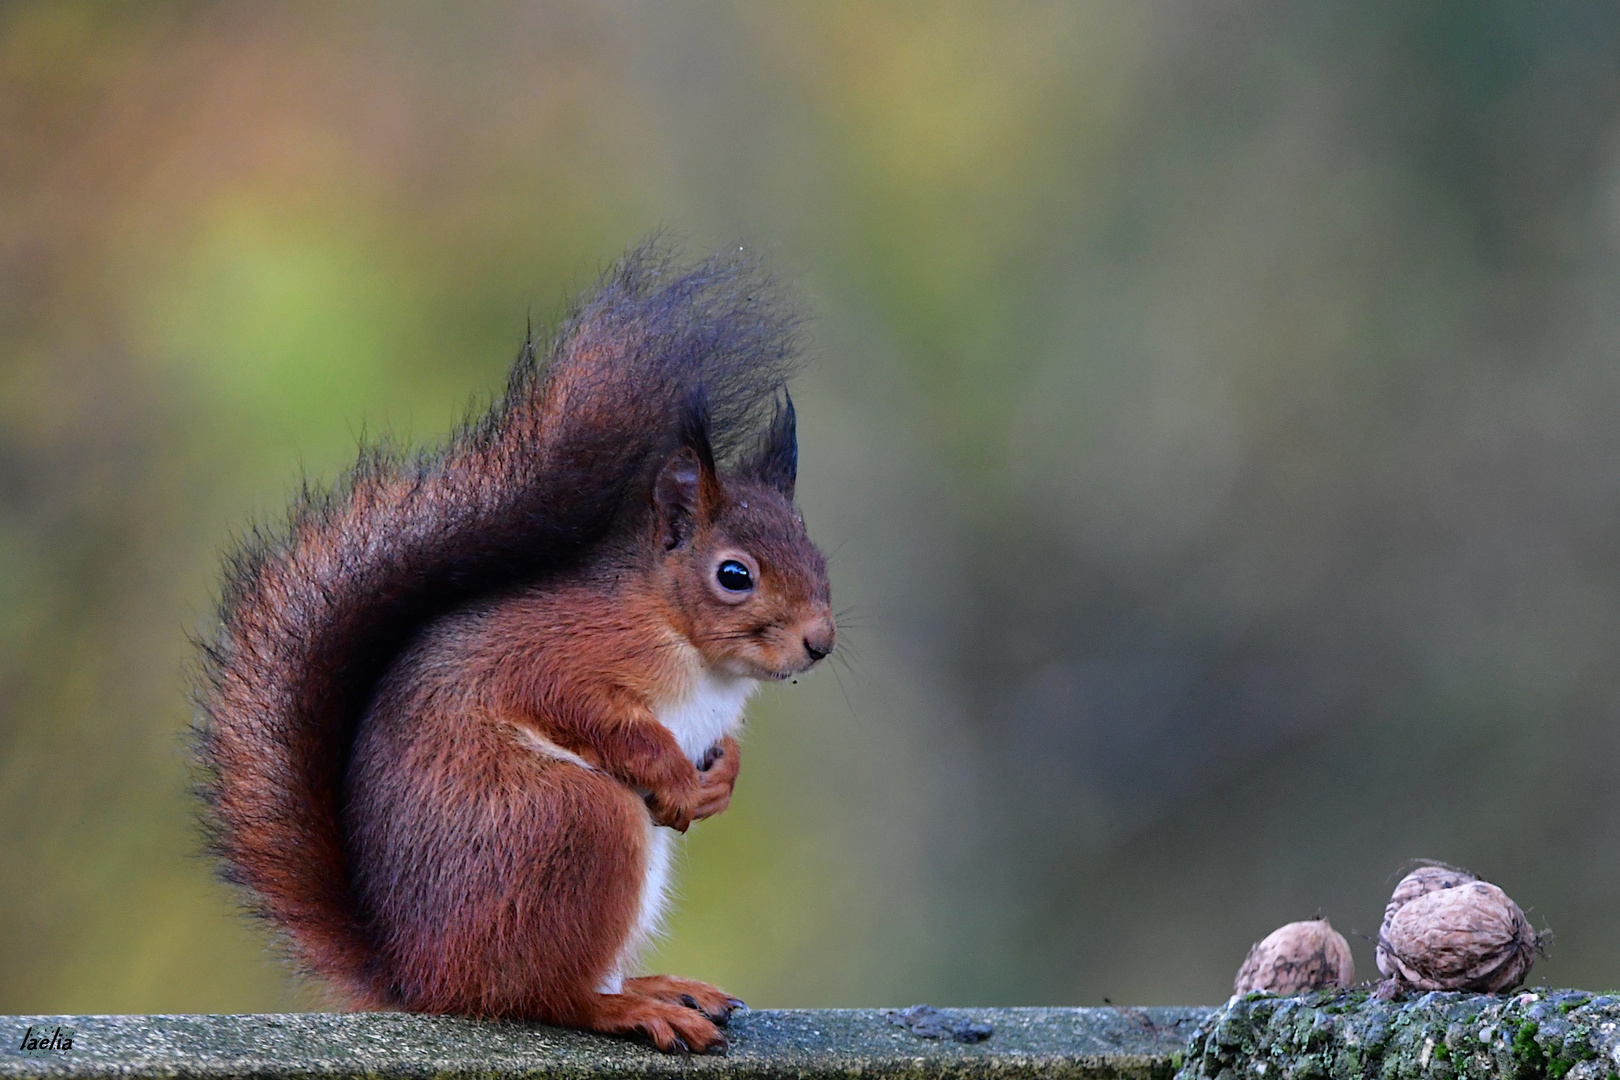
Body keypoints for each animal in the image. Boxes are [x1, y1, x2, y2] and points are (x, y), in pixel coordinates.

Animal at [192, 247, 835, 1055]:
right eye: (734, 576)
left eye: (817, 554)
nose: (820, 642)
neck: (689, 645)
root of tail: (419, 978)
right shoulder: (561, 656)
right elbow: (589, 714)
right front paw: (677, 778)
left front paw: (720, 782)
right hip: (573, 823)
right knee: (544, 993)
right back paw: (632, 1007)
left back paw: (660, 986)